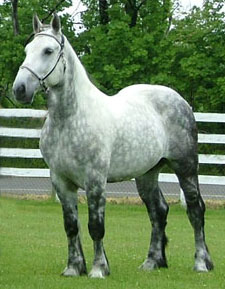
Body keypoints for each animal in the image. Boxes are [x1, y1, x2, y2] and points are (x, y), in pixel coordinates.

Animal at [13, 14, 214, 276]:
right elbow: (71, 226)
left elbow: (96, 226)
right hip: (147, 174)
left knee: (195, 209)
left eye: (48, 50)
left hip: (185, 166)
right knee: (158, 211)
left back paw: (201, 262)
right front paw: (73, 268)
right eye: (27, 50)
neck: (70, 120)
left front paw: (99, 269)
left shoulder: (95, 179)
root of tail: (180, 101)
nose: (20, 89)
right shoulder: (61, 180)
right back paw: (152, 262)